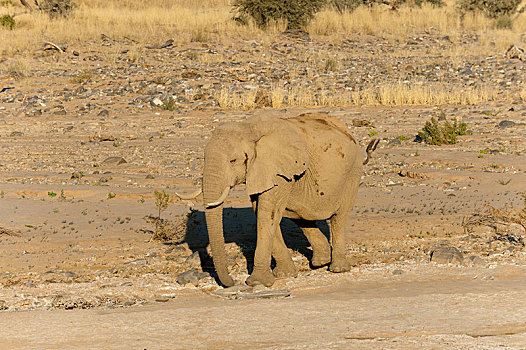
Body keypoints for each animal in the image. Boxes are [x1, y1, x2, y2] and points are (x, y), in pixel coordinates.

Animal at [197, 112, 376, 288]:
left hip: (352, 172)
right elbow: (262, 212)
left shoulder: (277, 170)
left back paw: (338, 268)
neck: (248, 128)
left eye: (233, 160)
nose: (232, 282)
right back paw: (320, 262)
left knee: (338, 218)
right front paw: (284, 275)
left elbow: (267, 213)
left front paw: (257, 282)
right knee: (302, 216)